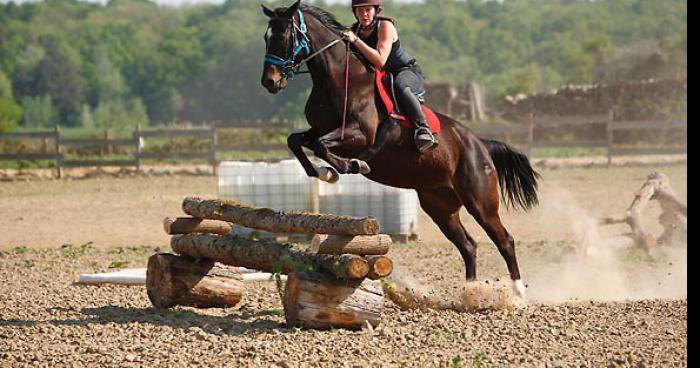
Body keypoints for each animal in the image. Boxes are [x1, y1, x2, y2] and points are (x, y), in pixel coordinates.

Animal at [260, 0, 540, 296]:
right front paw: (325, 173)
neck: (337, 78)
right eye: (266, 37)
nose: (270, 81)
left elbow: (320, 145)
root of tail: (480, 144)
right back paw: (470, 292)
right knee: (468, 245)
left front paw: (350, 166)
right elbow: (297, 140)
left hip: (480, 201)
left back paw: (518, 292)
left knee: (504, 240)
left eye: (284, 37)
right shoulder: (320, 128)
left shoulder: (362, 136)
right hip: (440, 206)